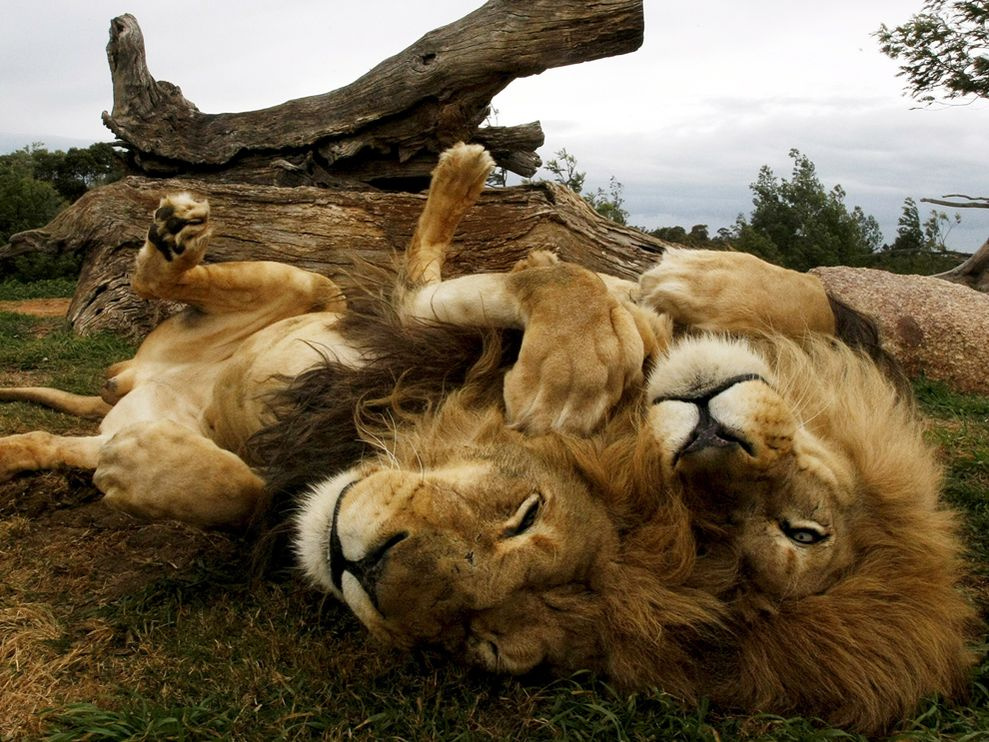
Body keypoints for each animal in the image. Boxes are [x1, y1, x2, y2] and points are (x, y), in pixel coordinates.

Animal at [0, 142, 972, 736]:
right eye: (525, 512)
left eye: (486, 645)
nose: (359, 564)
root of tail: (140, 373)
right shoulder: (443, 330)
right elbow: (560, 282)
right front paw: (578, 360)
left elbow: (242, 492)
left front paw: (144, 470)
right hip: (304, 285)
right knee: (168, 276)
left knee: (61, 437)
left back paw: (39, 452)